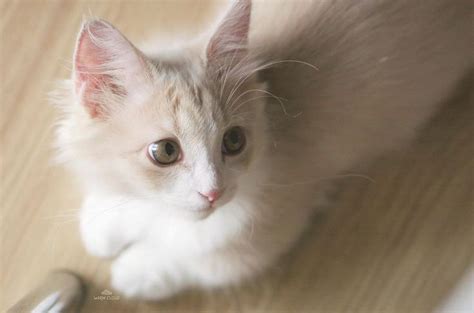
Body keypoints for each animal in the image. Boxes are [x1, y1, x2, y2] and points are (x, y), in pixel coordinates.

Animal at [54, 0, 470, 298]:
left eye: (234, 141)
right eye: (165, 152)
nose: (214, 192)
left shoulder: (274, 224)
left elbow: (199, 263)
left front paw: (135, 268)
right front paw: (104, 222)